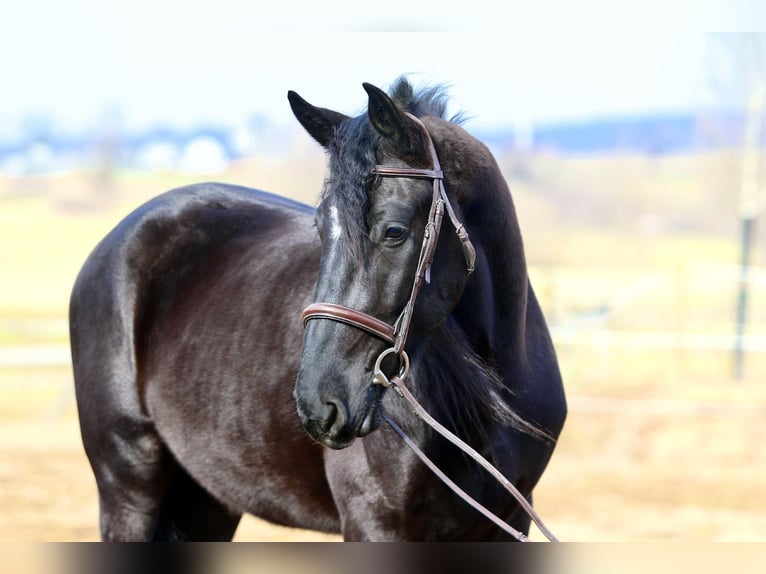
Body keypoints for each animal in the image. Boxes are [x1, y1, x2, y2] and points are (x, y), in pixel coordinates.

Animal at [70, 77, 567, 541]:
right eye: (320, 226)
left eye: (394, 231)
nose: (318, 404)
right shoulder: (374, 524)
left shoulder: (509, 520)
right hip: (129, 489)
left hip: (205, 498)